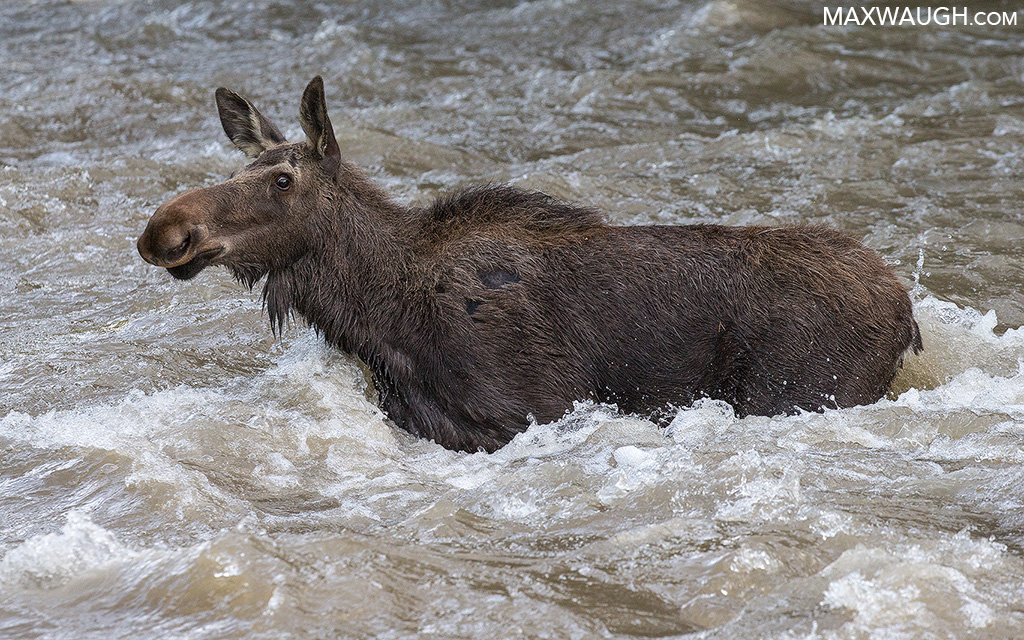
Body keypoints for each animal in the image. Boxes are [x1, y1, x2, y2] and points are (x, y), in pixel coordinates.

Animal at [137, 76, 923, 453]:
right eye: (238, 168)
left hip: (807, 388)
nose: (164, 231)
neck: (383, 316)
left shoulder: (529, 409)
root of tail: (906, 310)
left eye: (281, 179)